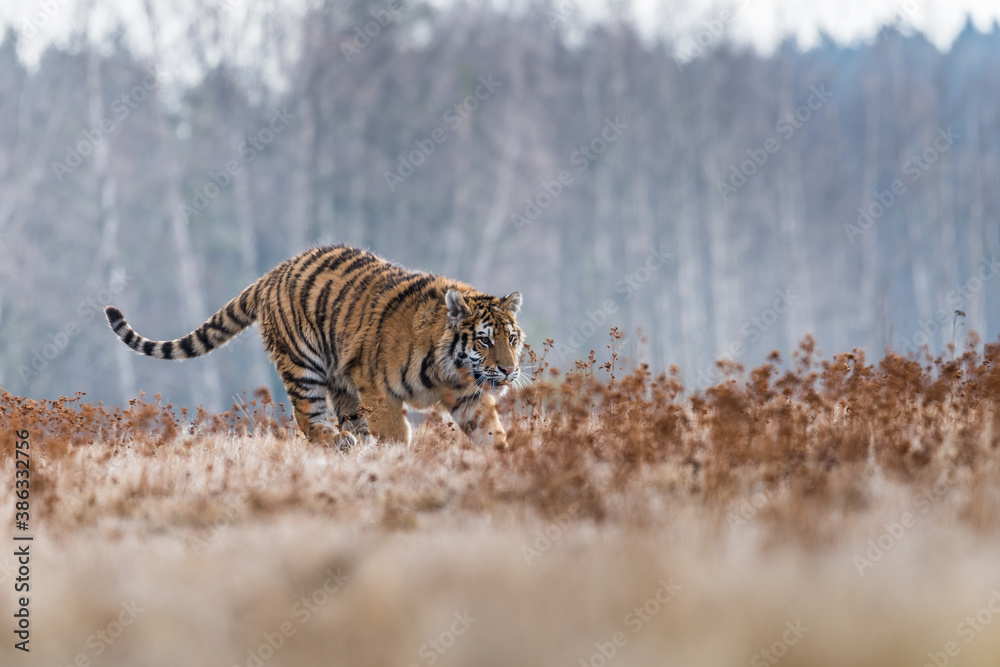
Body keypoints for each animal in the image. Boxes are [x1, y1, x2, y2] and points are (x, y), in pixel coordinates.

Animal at [103, 247, 524, 454]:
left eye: (512, 339)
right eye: (484, 340)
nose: (508, 371)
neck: (449, 368)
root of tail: (273, 272)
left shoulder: (469, 395)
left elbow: (491, 431)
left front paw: (504, 462)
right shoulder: (379, 390)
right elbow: (394, 433)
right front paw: (396, 462)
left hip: (341, 379)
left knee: (346, 419)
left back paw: (354, 444)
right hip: (303, 366)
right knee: (310, 421)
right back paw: (338, 442)